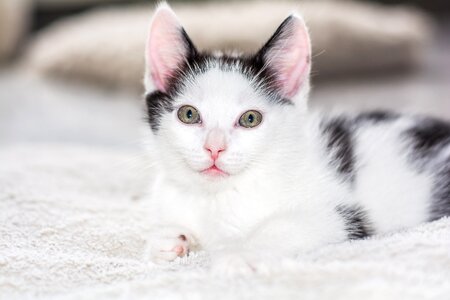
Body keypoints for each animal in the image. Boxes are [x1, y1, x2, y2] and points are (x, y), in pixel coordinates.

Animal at [143, 2, 450, 274]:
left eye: (250, 119)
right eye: (189, 114)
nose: (214, 148)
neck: (219, 197)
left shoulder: (341, 215)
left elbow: (282, 226)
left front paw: (239, 255)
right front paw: (171, 238)